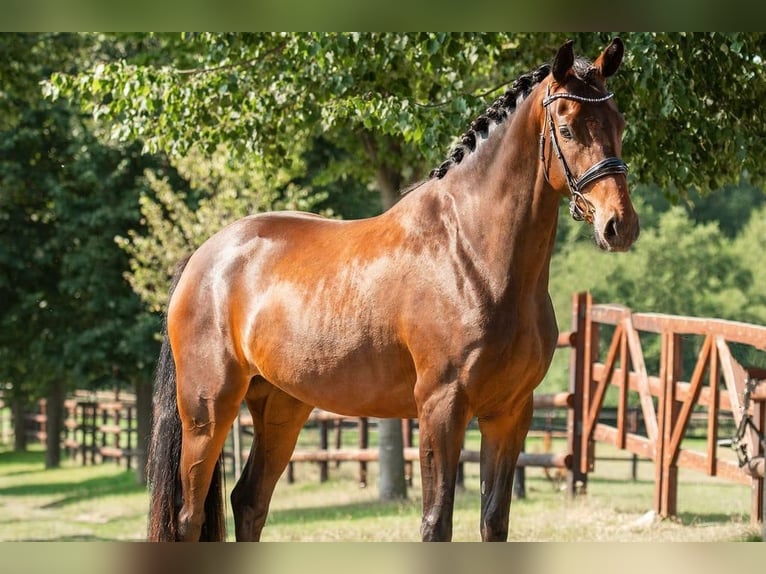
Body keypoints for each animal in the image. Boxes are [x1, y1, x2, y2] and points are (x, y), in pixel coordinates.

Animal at [146, 37, 639, 542]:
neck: (473, 252)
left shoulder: (510, 413)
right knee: (188, 518)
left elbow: (493, 522)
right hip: (207, 409)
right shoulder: (442, 407)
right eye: (568, 126)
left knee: (249, 501)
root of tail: (204, 257)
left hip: (281, 406)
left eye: (619, 123)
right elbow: (436, 522)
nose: (619, 225)